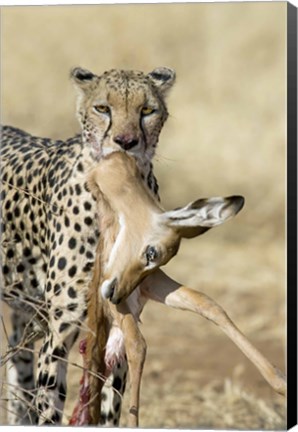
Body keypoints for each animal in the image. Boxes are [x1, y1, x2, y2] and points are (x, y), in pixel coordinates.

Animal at [0, 66, 176, 424]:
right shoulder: (59, 330)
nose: (126, 141)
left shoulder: (119, 325)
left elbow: (110, 406)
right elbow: (50, 407)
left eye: (147, 110)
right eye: (102, 108)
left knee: (19, 359)